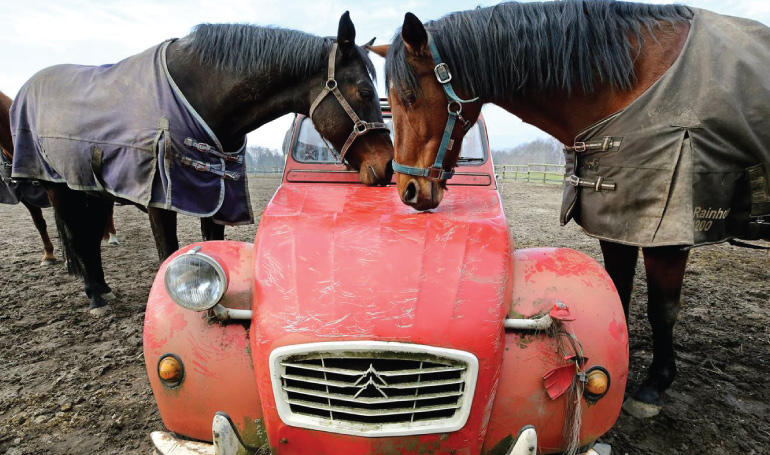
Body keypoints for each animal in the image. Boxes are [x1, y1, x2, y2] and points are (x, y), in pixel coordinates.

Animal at [10, 12, 396, 316]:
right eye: (364, 91)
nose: (388, 166)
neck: (201, 98)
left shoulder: (217, 197)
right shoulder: (160, 201)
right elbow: (168, 253)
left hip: (92, 191)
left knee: (89, 239)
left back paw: (103, 289)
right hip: (59, 189)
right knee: (77, 237)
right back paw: (95, 297)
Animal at [376, 0, 768, 420]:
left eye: (410, 96)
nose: (408, 190)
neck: (632, 86)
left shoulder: (667, 231)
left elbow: (663, 308)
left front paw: (654, 385)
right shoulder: (616, 221)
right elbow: (618, 287)